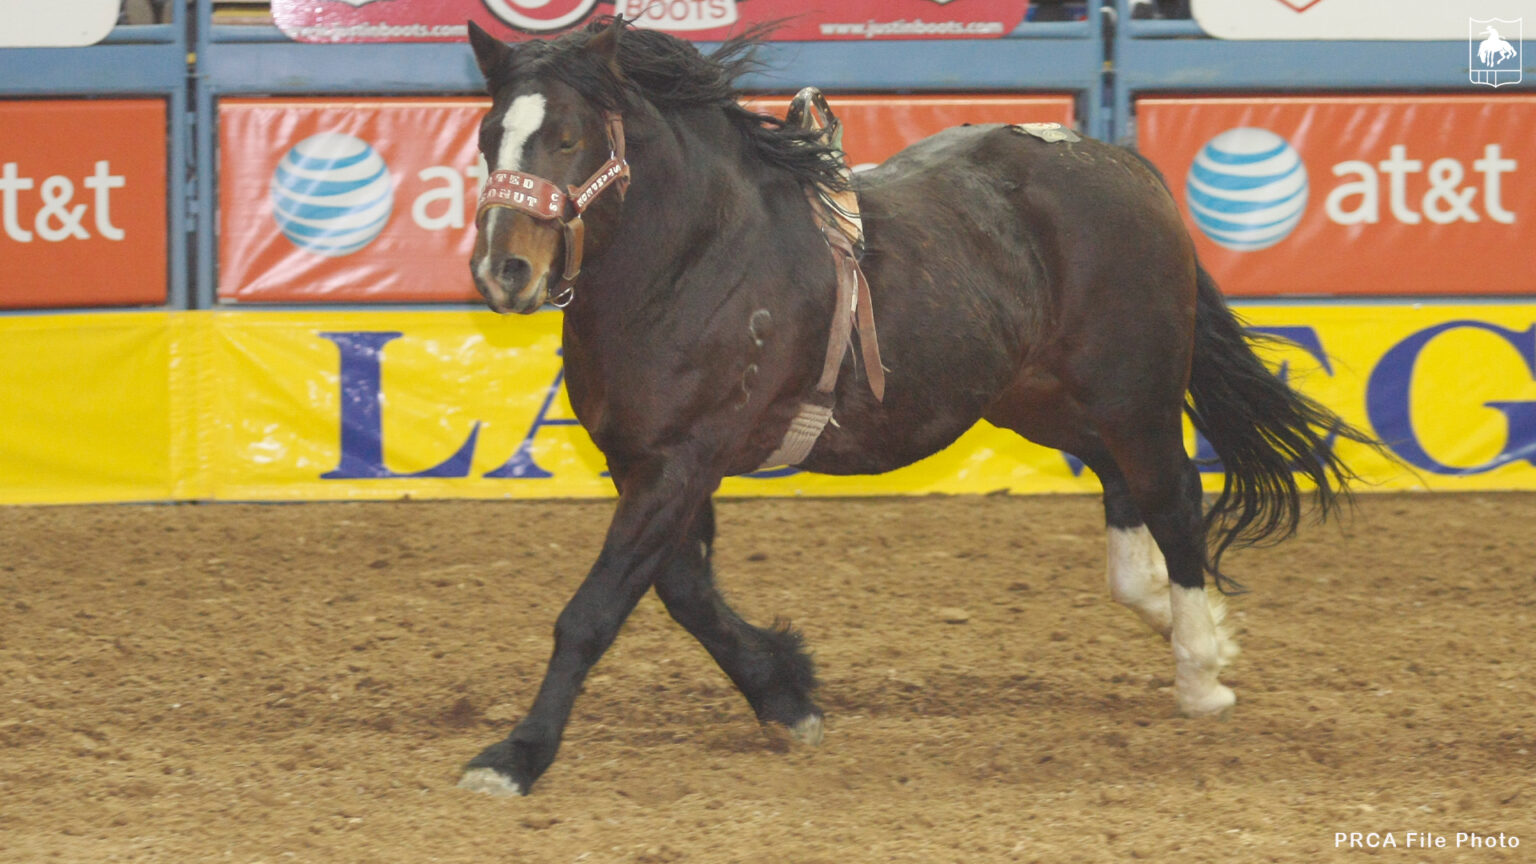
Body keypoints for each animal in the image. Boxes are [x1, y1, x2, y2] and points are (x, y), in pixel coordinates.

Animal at [456, 17, 1375, 797]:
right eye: (487, 136)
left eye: (568, 137)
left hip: (1134, 392)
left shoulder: (681, 462)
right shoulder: (647, 464)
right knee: (1123, 486)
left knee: (1174, 498)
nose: (505, 270)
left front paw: (515, 757)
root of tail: (1126, 167)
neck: (691, 258)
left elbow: (594, 612)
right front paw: (787, 692)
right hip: (1038, 396)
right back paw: (1174, 615)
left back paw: (1198, 667)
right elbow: (686, 593)